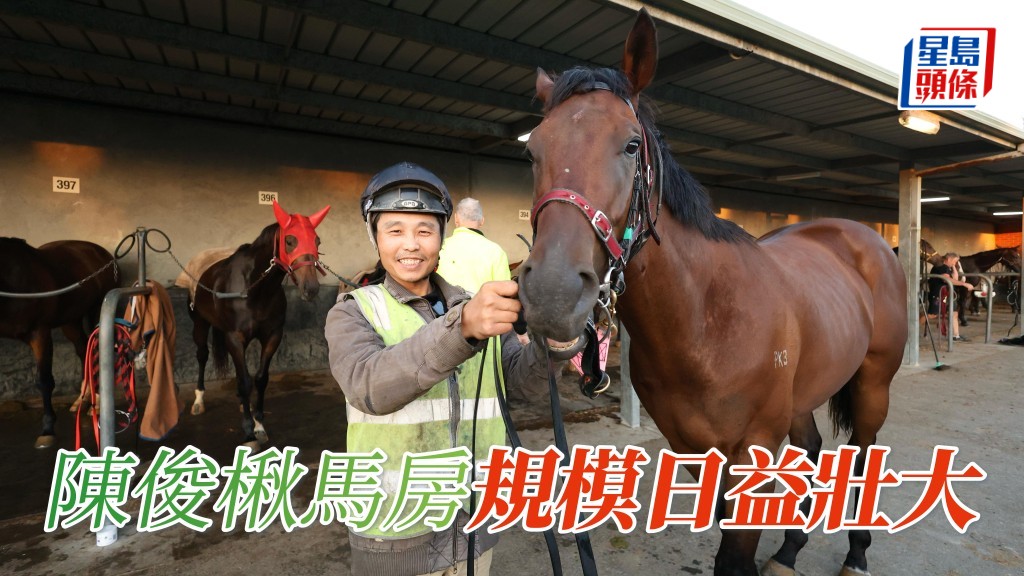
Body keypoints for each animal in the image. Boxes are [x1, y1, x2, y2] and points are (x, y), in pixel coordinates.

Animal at [0, 238, 119, 448]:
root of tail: (103, 253)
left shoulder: (40, 333)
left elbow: (44, 381)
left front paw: (47, 429)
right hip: (70, 320)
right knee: (83, 348)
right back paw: (82, 399)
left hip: (99, 309)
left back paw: (96, 401)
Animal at [187, 200, 329, 448]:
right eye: (289, 240)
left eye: (317, 241)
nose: (310, 288)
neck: (254, 288)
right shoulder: (234, 338)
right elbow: (244, 382)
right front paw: (248, 430)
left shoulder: (272, 336)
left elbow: (260, 379)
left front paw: (259, 424)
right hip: (200, 325)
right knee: (202, 355)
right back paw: (199, 399)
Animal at [516, 10, 907, 576]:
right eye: (532, 151)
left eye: (631, 145)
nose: (551, 293)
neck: (706, 320)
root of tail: (865, 237)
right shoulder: (694, 450)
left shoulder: (753, 447)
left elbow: (735, 552)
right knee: (811, 448)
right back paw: (789, 549)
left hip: (874, 384)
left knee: (862, 454)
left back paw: (856, 553)